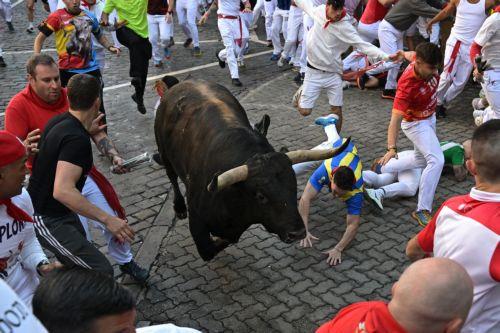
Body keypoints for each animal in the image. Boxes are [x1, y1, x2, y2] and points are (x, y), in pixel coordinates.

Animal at [154, 79, 350, 260]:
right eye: (261, 196)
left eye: (294, 186)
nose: (298, 233)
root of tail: (182, 83)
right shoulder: (197, 222)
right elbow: (210, 249)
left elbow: (229, 238)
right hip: (165, 153)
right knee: (171, 177)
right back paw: (179, 207)